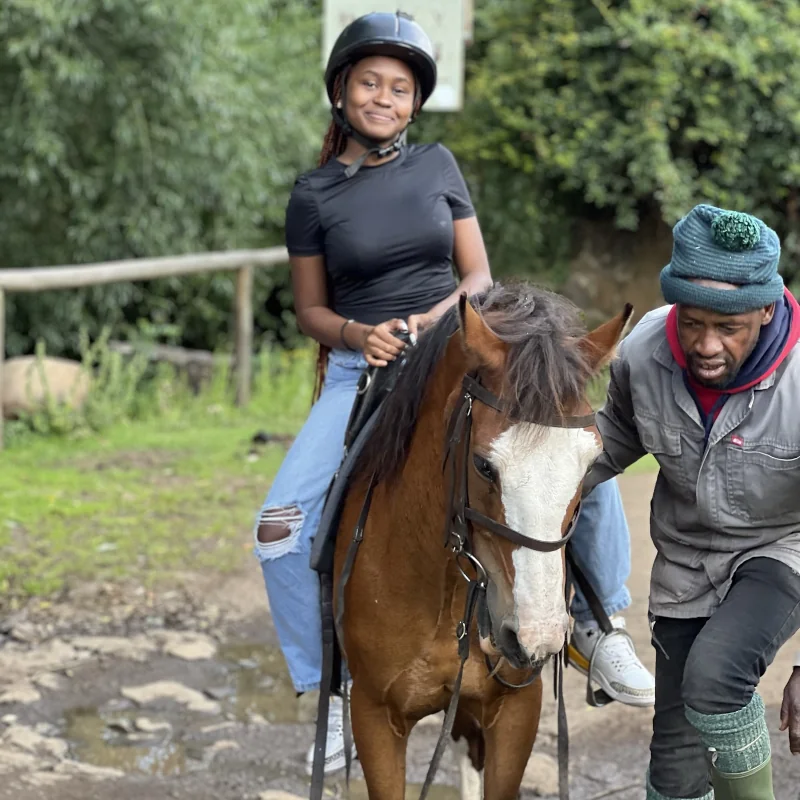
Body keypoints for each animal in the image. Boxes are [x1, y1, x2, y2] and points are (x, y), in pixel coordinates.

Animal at [332, 278, 632, 796]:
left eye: (592, 466)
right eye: (484, 465)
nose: (534, 637)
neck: (444, 591)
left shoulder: (515, 709)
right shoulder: (373, 716)